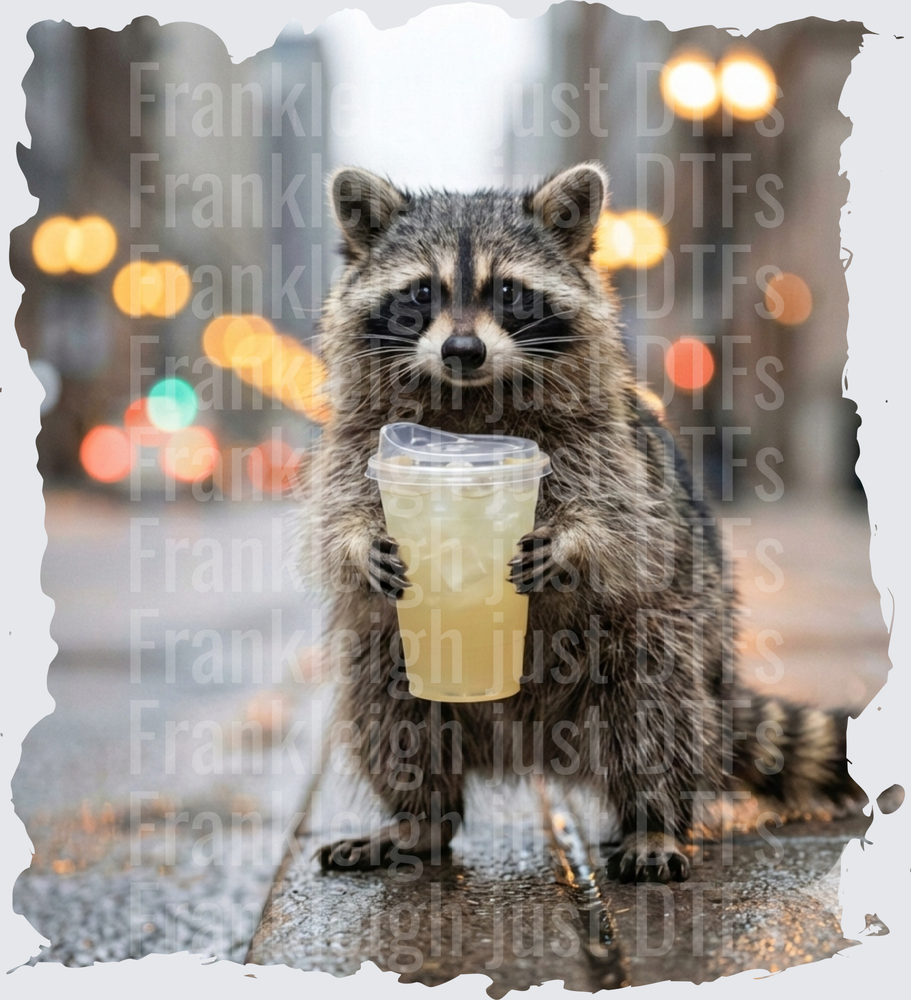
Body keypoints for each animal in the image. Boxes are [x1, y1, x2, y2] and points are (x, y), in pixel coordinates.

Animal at [303, 163, 860, 883]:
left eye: (508, 291)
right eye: (422, 291)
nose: (462, 349)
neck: (467, 397)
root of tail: (525, 748)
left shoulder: (609, 442)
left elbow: (623, 523)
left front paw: (574, 547)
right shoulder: (356, 437)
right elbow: (337, 510)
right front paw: (358, 543)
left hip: (674, 640)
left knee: (652, 698)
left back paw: (653, 818)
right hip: (397, 653)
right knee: (385, 699)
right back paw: (418, 815)